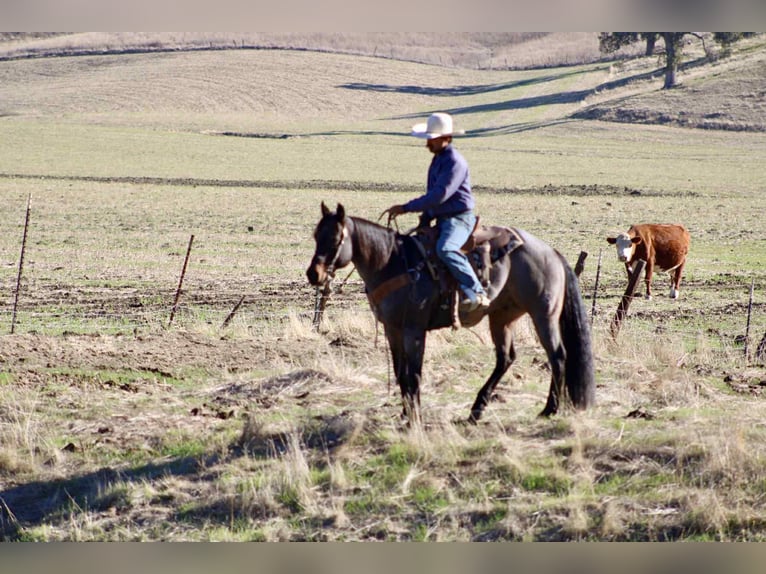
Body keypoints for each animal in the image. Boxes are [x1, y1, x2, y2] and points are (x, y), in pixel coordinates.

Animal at [306, 202, 595, 424]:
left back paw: (549, 409)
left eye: (336, 239)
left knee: (557, 355)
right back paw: (477, 410)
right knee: (506, 358)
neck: (392, 262)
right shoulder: (392, 330)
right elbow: (401, 373)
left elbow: (414, 373)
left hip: (543, 314)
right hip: (502, 317)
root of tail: (552, 252)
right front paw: (405, 414)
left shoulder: (414, 330)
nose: (313, 274)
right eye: (316, 235)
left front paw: (414, 417)